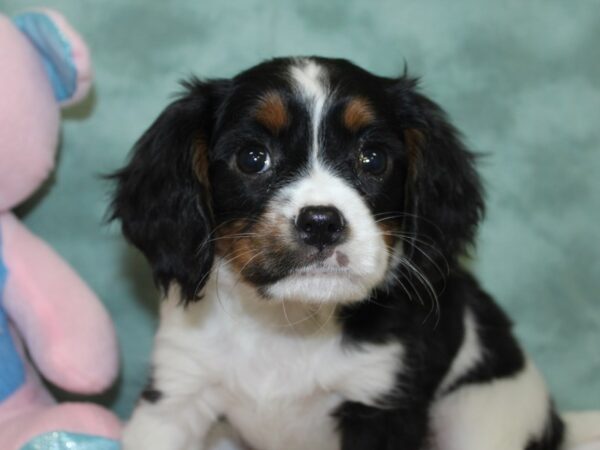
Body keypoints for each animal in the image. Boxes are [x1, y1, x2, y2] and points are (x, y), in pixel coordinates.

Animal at [110, 56, 584, 450]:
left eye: (372, 158)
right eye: (251, 157)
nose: (321, 222)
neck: (289, 323)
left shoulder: (381, 403)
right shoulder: (177, 393)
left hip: (479, 415)